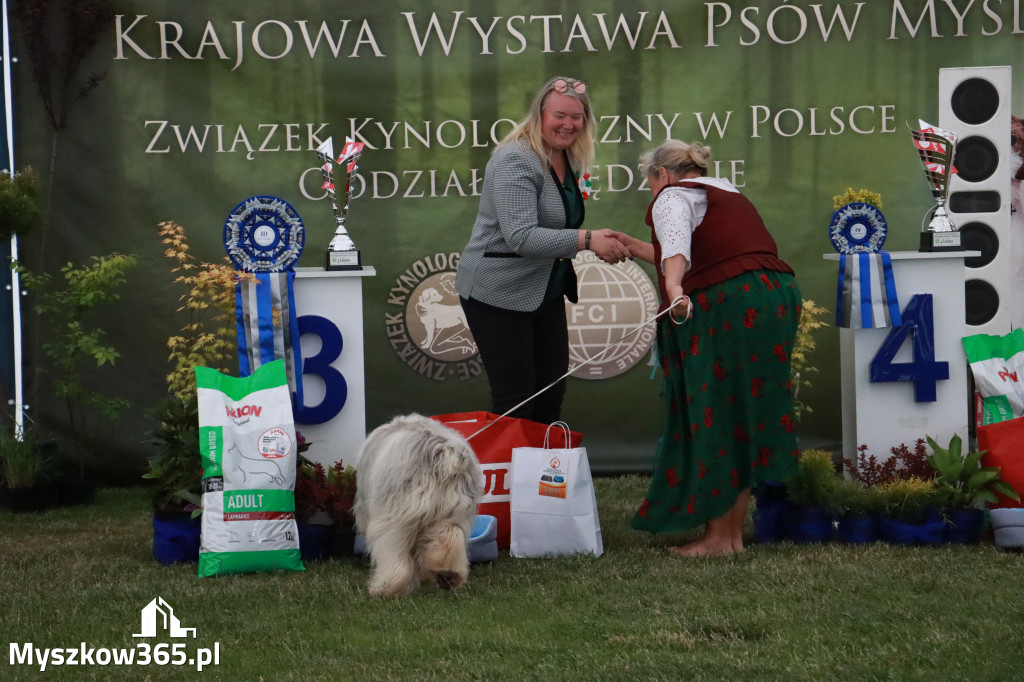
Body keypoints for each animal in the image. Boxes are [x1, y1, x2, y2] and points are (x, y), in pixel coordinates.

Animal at [354, 409, 481, 593]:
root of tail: (444, 454)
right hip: (453, 512)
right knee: (451, 536)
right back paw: (448, 574)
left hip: (396, 518)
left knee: (395, 554)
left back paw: (387, 587)